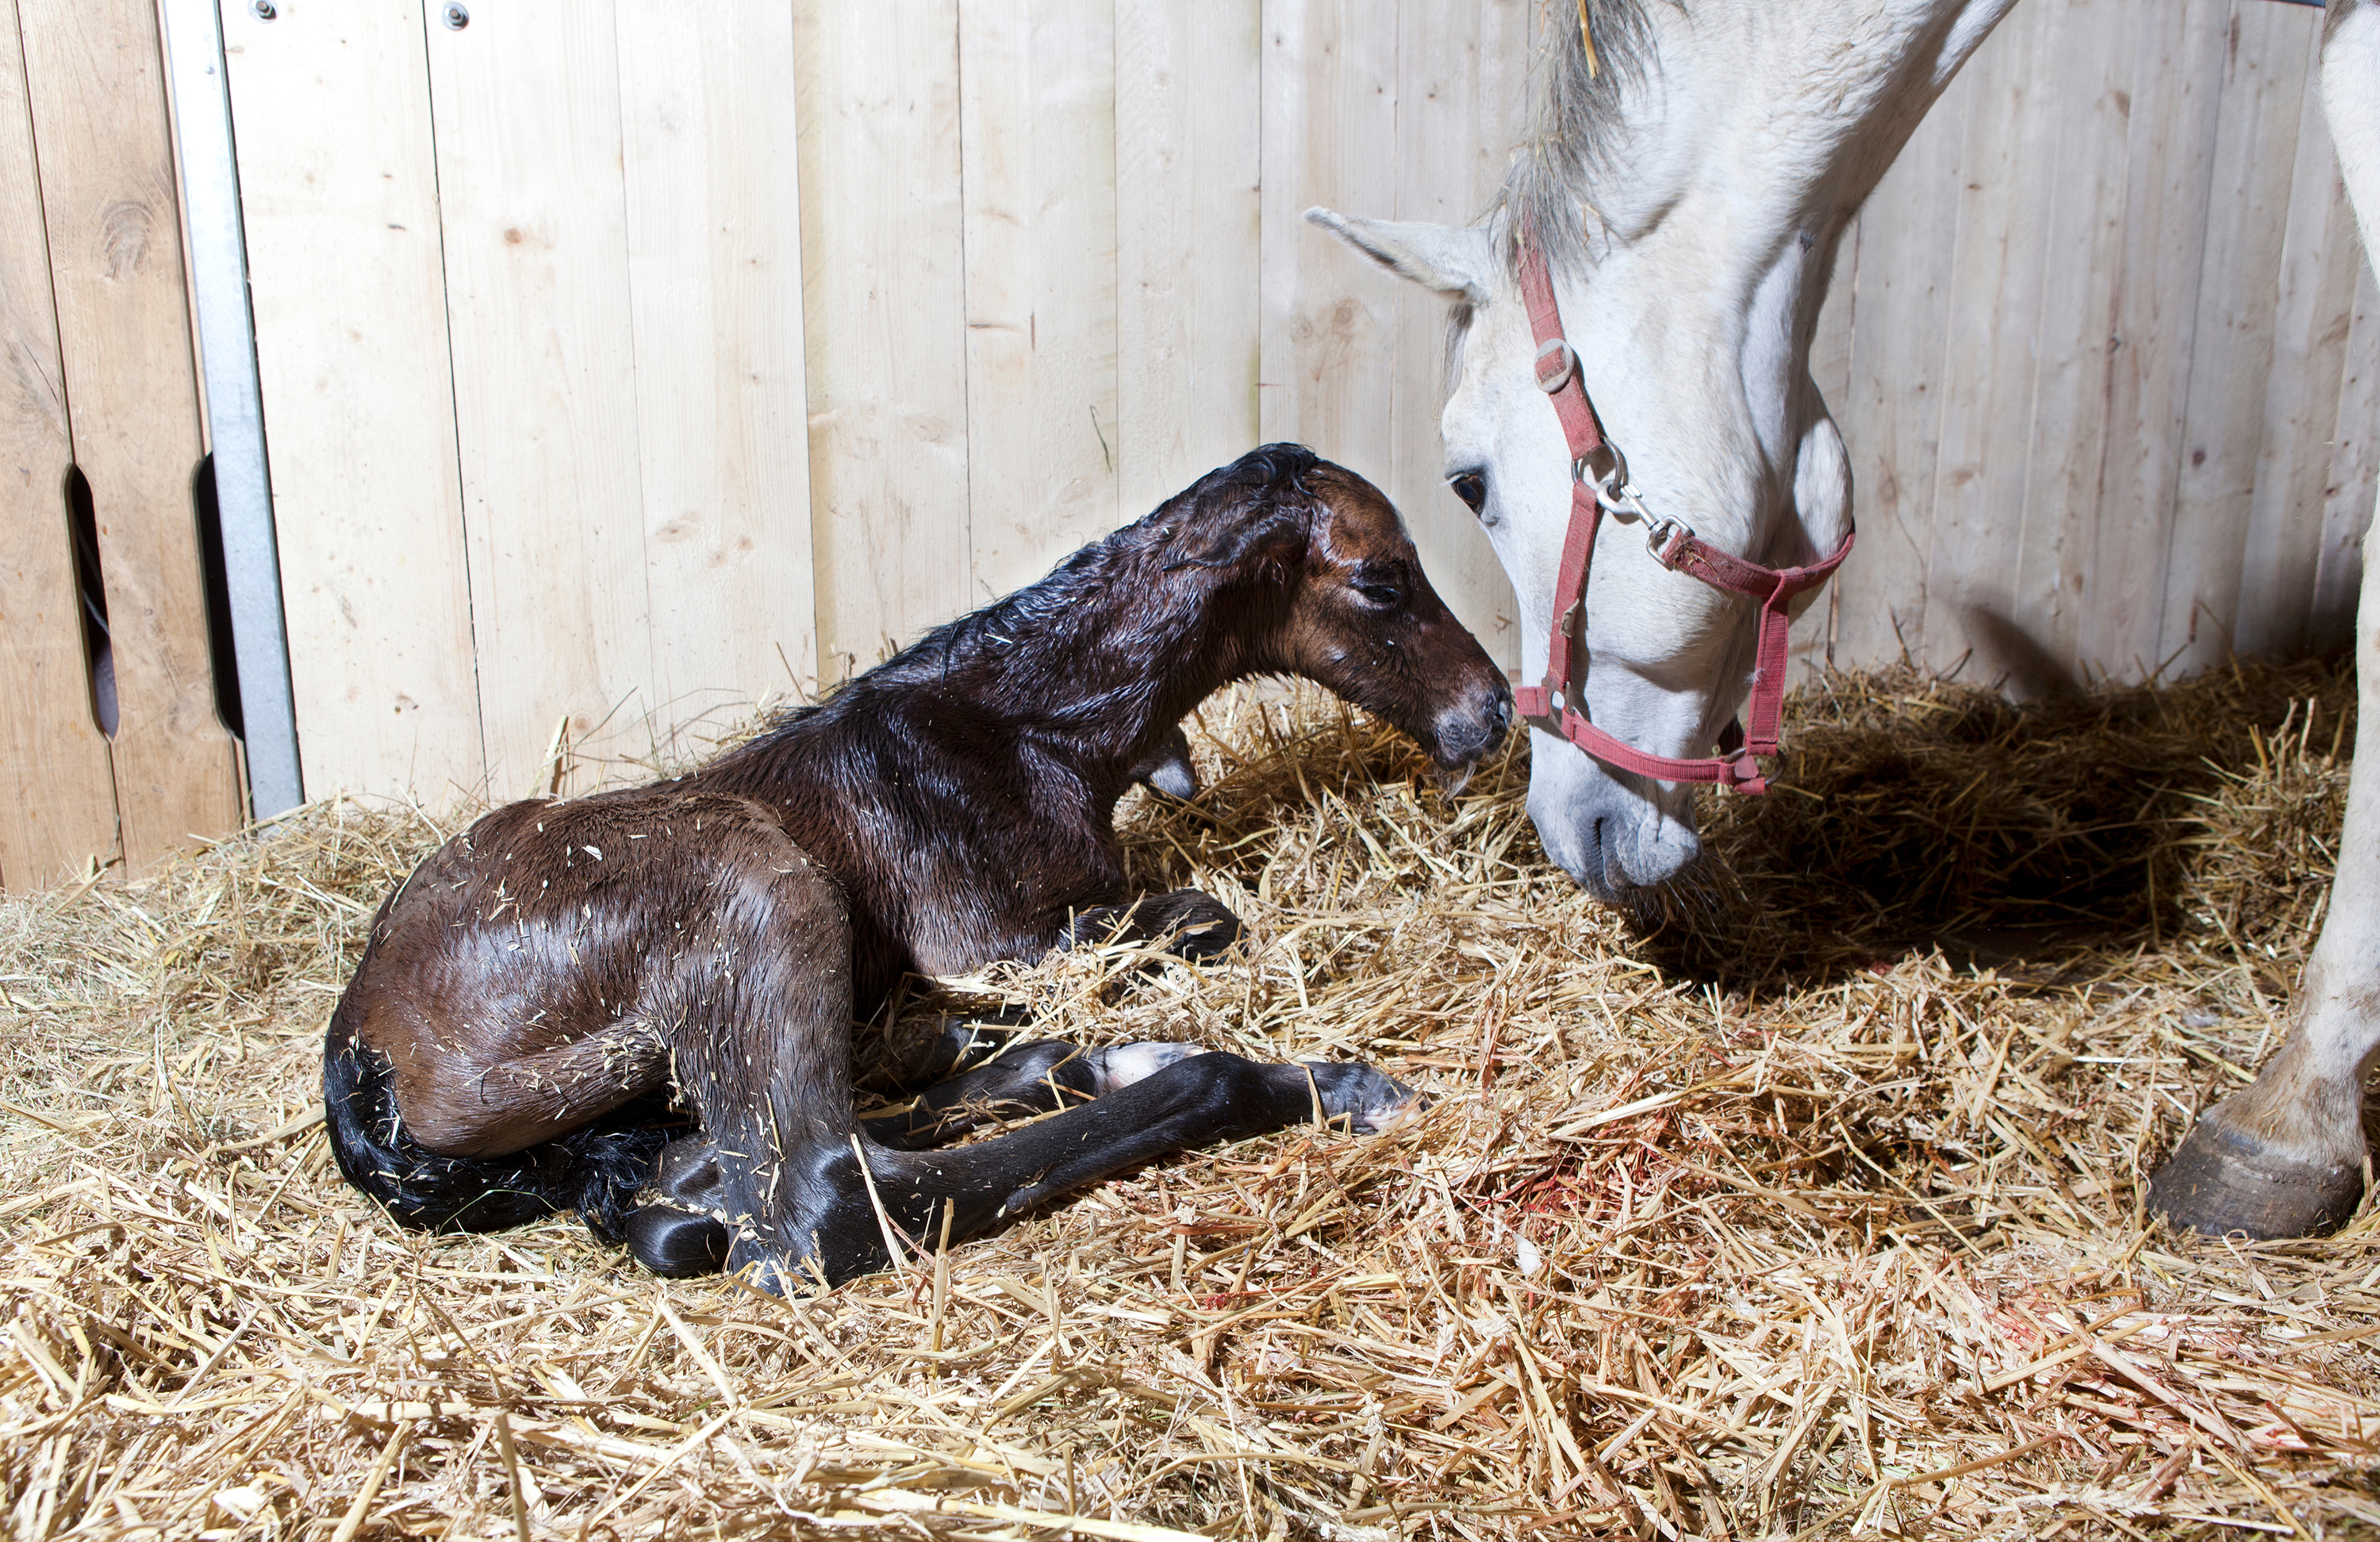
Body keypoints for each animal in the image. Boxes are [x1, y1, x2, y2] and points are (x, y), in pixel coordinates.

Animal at [321, 445, 1504, 1285]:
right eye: (1384, 578)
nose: (1490, 709)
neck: (1026, 733)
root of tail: (363, 1040)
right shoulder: (989, 940)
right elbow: (1204, 916)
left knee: (710, 1164)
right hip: (757, 884)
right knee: (822, 1198)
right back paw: (1294, 1081)